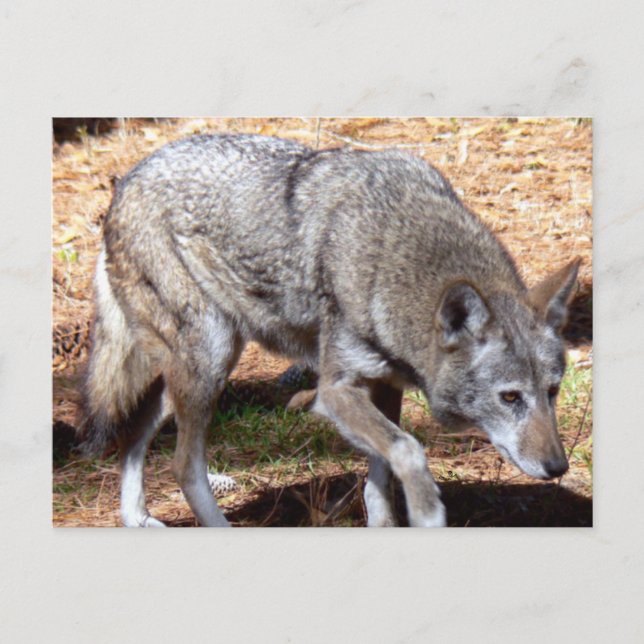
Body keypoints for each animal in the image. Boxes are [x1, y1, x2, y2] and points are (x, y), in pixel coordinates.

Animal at [81, 133, 580, 528]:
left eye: (553, 392)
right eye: (510, 398)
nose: (558, 466)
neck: (388, 251)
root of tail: (125, 183)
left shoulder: (385, 385)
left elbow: (380, 481)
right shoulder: (334, 390)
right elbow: (408, 450)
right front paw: (427, 513)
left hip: (196, 370)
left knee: (134, 433)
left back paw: (136, 518)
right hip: (209, 363)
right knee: (184, 466)